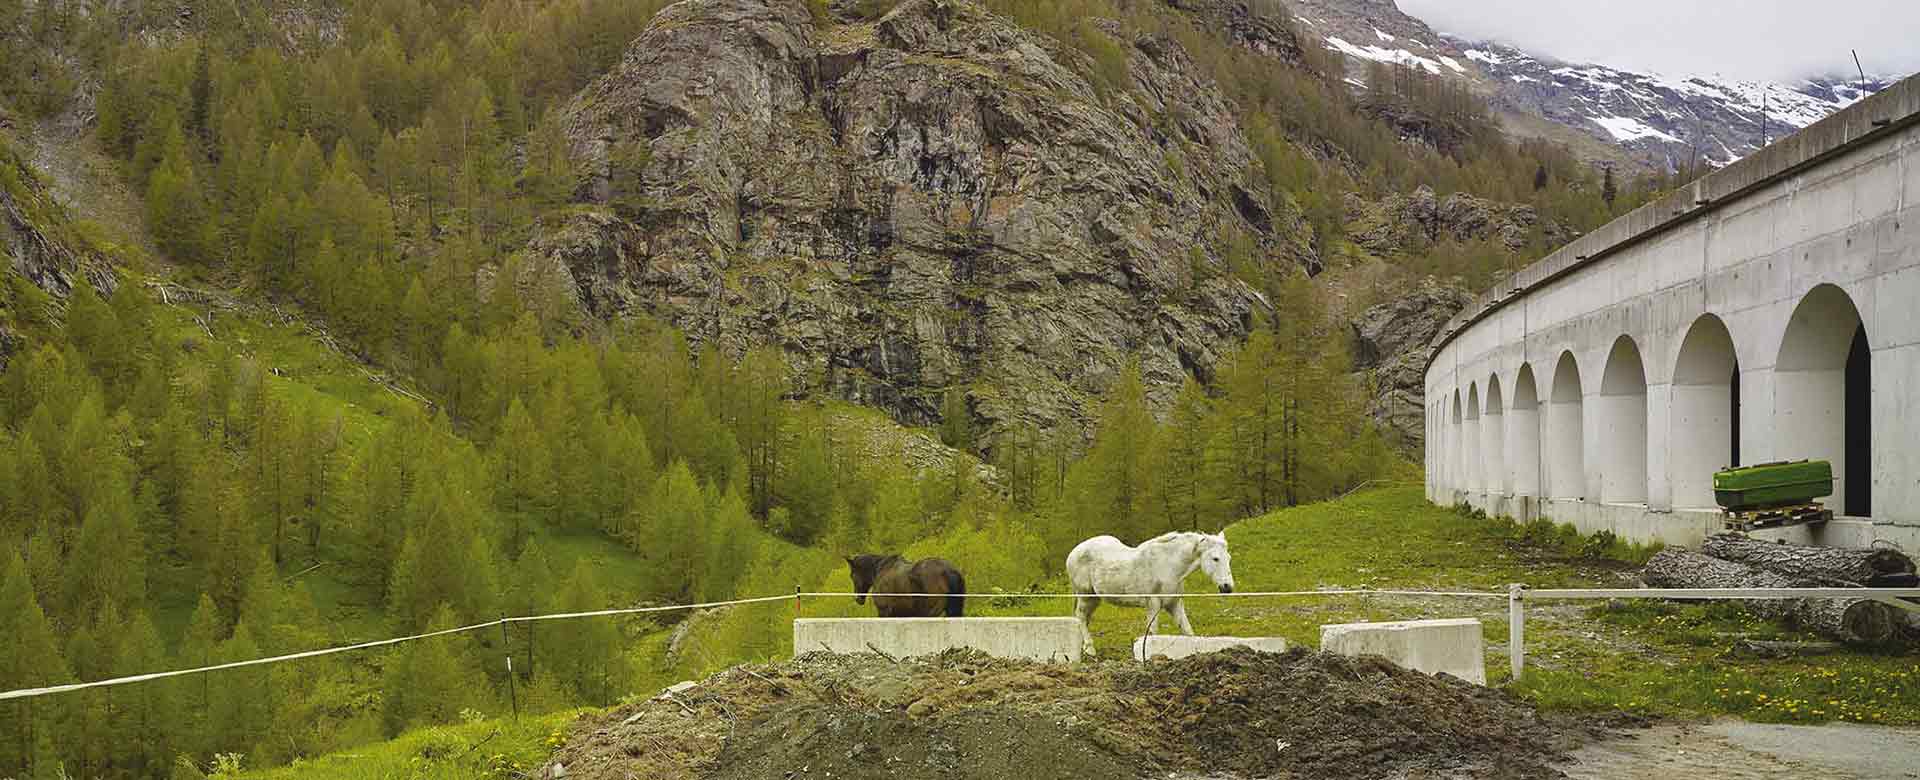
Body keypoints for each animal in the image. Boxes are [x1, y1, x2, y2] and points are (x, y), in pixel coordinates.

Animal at [1059, 534, 1236, 653]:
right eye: (1215, 559)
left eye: (1228, 558)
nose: (1227, 587)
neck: (1167, 565)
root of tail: (1074, 551)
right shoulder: (1153, 604)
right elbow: (1152, 634)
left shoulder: (1174, 604)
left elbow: (1188, 632)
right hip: (1085, 596)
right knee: (1081, 617)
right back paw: (1090, 650)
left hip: (1094, 599)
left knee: (1084, 619)